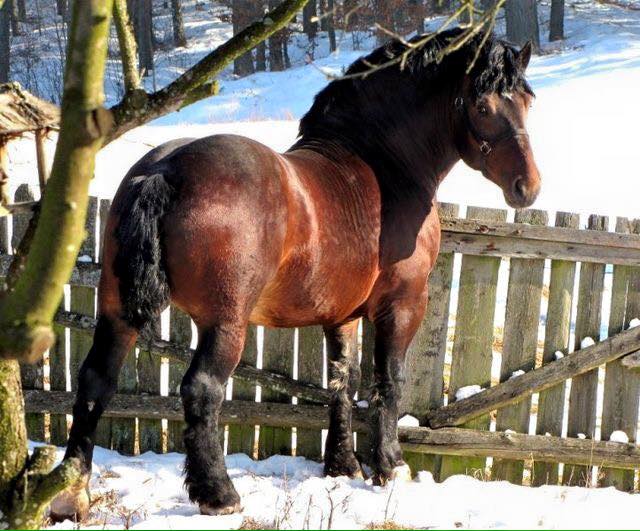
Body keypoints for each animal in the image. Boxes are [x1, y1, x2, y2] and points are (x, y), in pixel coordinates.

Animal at [51, 28, 540, 520]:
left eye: (526, 102)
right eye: (482, 106)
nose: (528, 187)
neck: (379, 166)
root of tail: (164, 170)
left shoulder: (341, 316)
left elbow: (343, 382)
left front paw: (342, 466)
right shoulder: (402, 303)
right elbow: (389, 380)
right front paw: (390, 466)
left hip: (117, 310)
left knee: (95, 379)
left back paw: (71, 494)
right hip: (225, 322)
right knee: (202, 389)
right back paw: (219, 495)